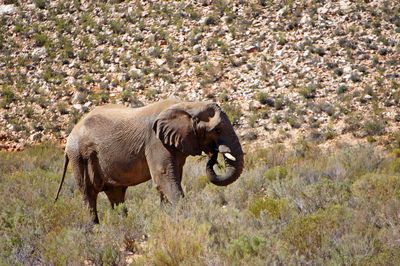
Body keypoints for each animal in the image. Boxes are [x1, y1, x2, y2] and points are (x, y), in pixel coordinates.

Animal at [54, 97, 244, 222]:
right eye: (217, 130)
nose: (214, 155)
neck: (188, 105)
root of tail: (70, 136)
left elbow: (171, 178)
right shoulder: (155, 142)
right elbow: (164, 178)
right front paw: (186, 218)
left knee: (116, 195)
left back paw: (123, 224)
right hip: (78, 157)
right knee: (89, 195)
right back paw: (96, 229)